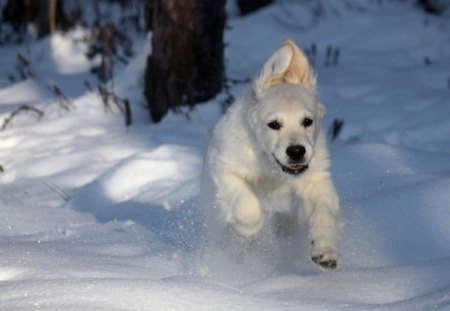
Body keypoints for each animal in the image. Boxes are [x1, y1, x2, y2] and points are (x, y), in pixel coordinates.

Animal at [204, 39, 342, 270]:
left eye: (307, 121)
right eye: (274, 124)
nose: (296, 152)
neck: (271, 167)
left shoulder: (316, 179)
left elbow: (324, 212)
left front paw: (326, 251)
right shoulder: (224, 168)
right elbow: (248, 207)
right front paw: (244, 229)